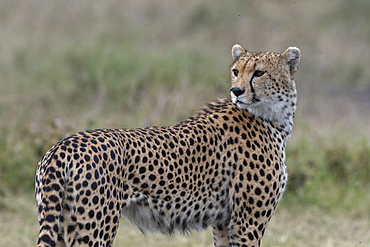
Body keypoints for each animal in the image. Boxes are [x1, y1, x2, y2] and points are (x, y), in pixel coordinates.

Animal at [35, 43, 300, 246]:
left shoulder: (224, 223)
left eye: (259, 73)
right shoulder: (246, 223)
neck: (273, 117)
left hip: (61, 222)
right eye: (236, 71)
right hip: (94, 227)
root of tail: (64, 144)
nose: (236, 90)